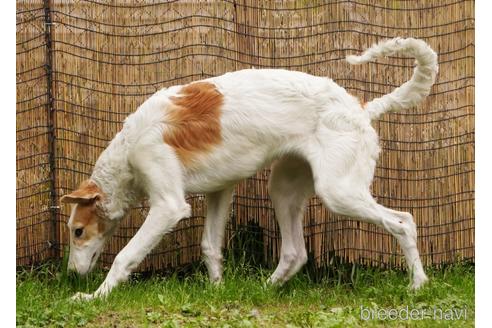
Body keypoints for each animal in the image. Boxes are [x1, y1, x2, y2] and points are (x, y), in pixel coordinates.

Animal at [62, 37, 438, 300]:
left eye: (78, 231)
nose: (70, 274)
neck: (130, 145)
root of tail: (361, 108)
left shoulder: (169, 205)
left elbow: (125, 256)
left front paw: (94, 296)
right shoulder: (220, 189)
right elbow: (210, 246)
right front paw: (217, 291)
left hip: (339, 192)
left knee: (404, 222)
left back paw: (418, 285)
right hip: (284, 188)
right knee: (295, 252)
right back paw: (265, 289)